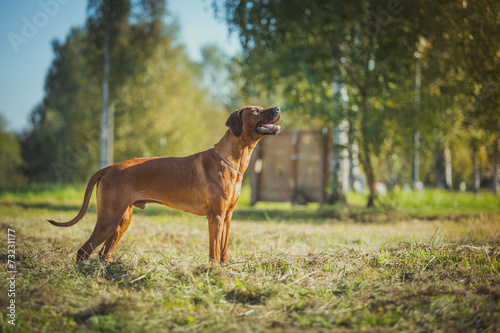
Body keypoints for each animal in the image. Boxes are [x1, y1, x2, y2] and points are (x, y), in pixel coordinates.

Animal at [49, 105, 282, 264]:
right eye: (256, 110)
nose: (278, 107)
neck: (233, 159)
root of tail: (108, 168)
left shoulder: (227, 216)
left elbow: (223, 249)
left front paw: (224, 269)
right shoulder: (215, 216)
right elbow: (214, 251)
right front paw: (213, 270)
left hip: (122, 219)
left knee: (104, 253)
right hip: (108, 219)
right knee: (83, 252)